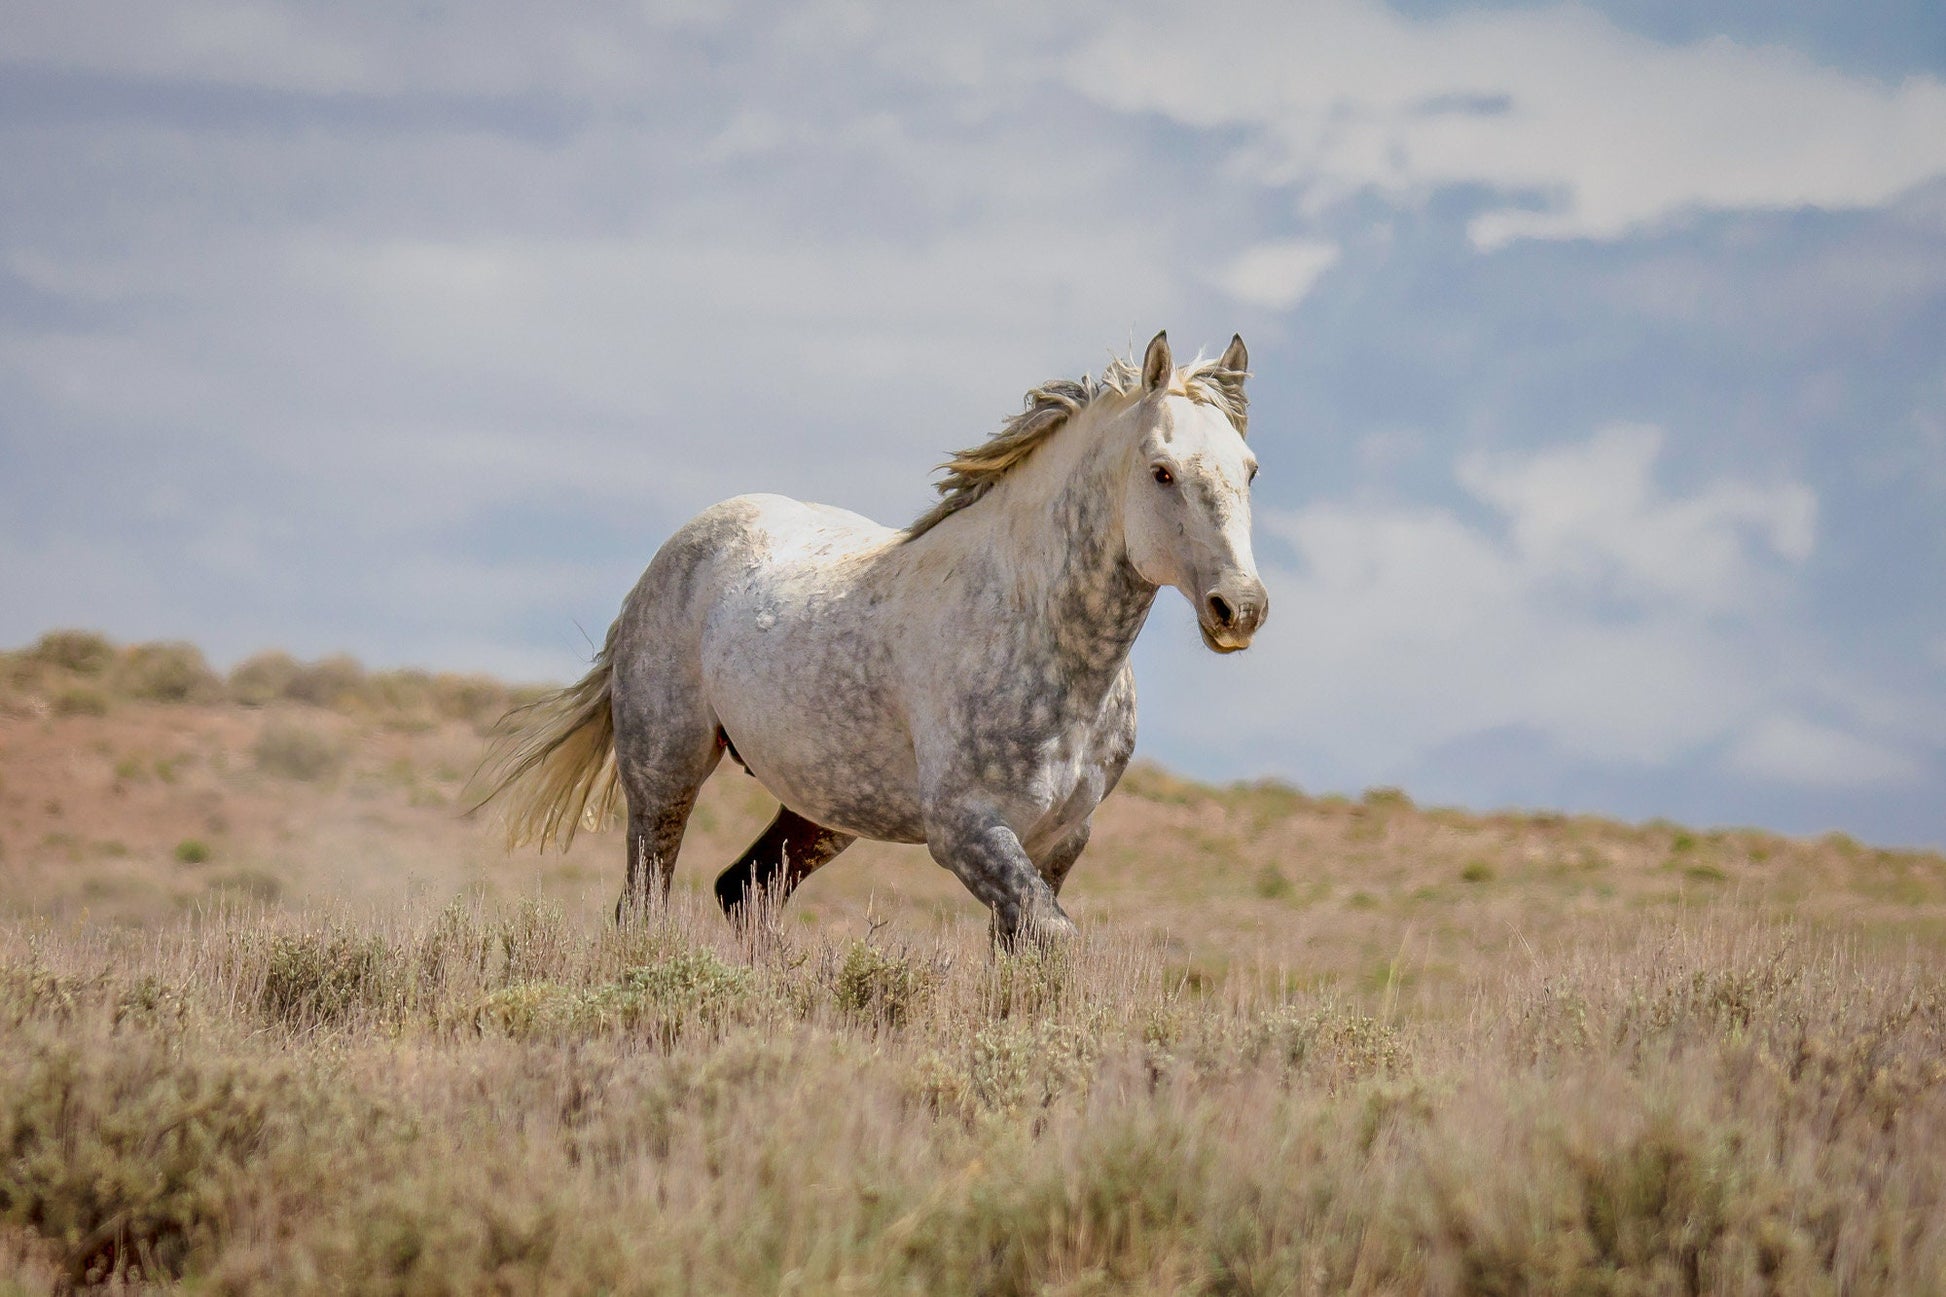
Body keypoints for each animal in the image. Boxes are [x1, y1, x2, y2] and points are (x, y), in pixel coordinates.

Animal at [478, 333, 1268, 938]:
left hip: (822, 808)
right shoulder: (967, 833)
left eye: (1250, 470)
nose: (1241, 609)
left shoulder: (1061, 839)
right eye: (1162, 471)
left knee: (746, 890)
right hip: (664, 772)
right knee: (644, 906)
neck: (1037, 634)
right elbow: (1052, 935)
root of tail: (673, 553)